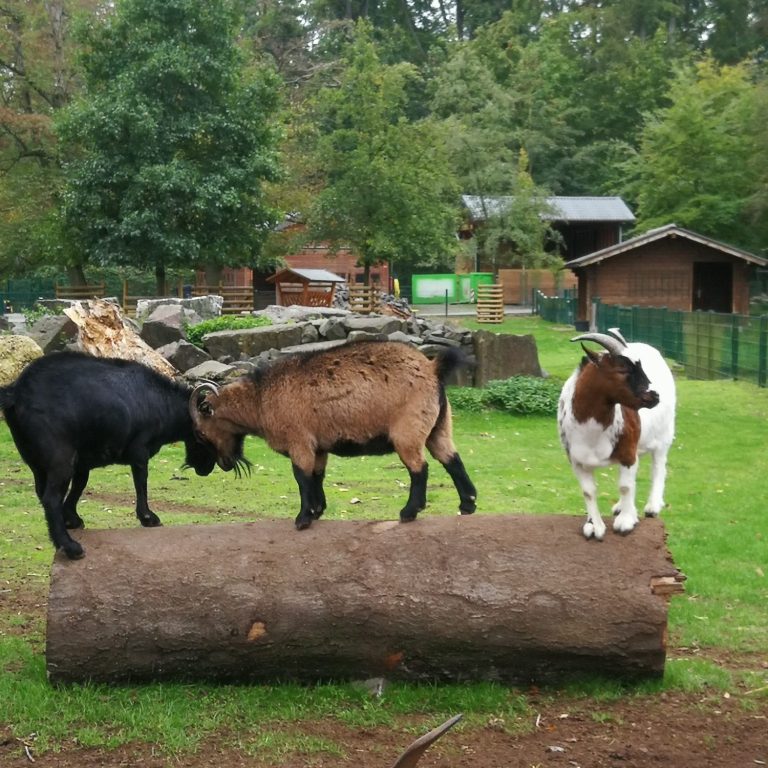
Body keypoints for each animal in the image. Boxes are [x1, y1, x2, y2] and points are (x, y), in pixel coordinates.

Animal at [0, 351, 218, 559]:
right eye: (203, 435)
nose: (206, 468)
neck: (160, 401)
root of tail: (15, 393)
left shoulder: (82, 464)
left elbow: (79, 486)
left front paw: (72, 519)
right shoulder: (139, 450)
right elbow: (141, 481)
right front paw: (148, 517)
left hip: (37, 464)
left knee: (42, 493)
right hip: (60, 461)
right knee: (51, 499)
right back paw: (71, 547)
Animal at [188, 341, 477, 529]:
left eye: (201, 433)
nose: (223, 465)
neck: (260, 398)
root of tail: (432, 368)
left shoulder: (300, 440)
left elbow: (301, 476)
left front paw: (303, 519)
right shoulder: (319, 446)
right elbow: (316, 476)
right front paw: (317, 511)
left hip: (408, 431)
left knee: (420, 467)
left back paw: (409, 512)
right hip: (439, 427)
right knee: (452, 460)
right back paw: (467, 505)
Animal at [557, 329, 676, 540]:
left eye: (640, 367)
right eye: (622, 370)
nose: (655, 396)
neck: (591, 433)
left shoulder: (628, 453)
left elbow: (625, 486)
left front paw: (626, 522)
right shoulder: (576, 461)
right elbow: (588, 491)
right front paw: (594, 525)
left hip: (664, 436)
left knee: (658, 467)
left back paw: (652, 506)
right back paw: (622, 507)